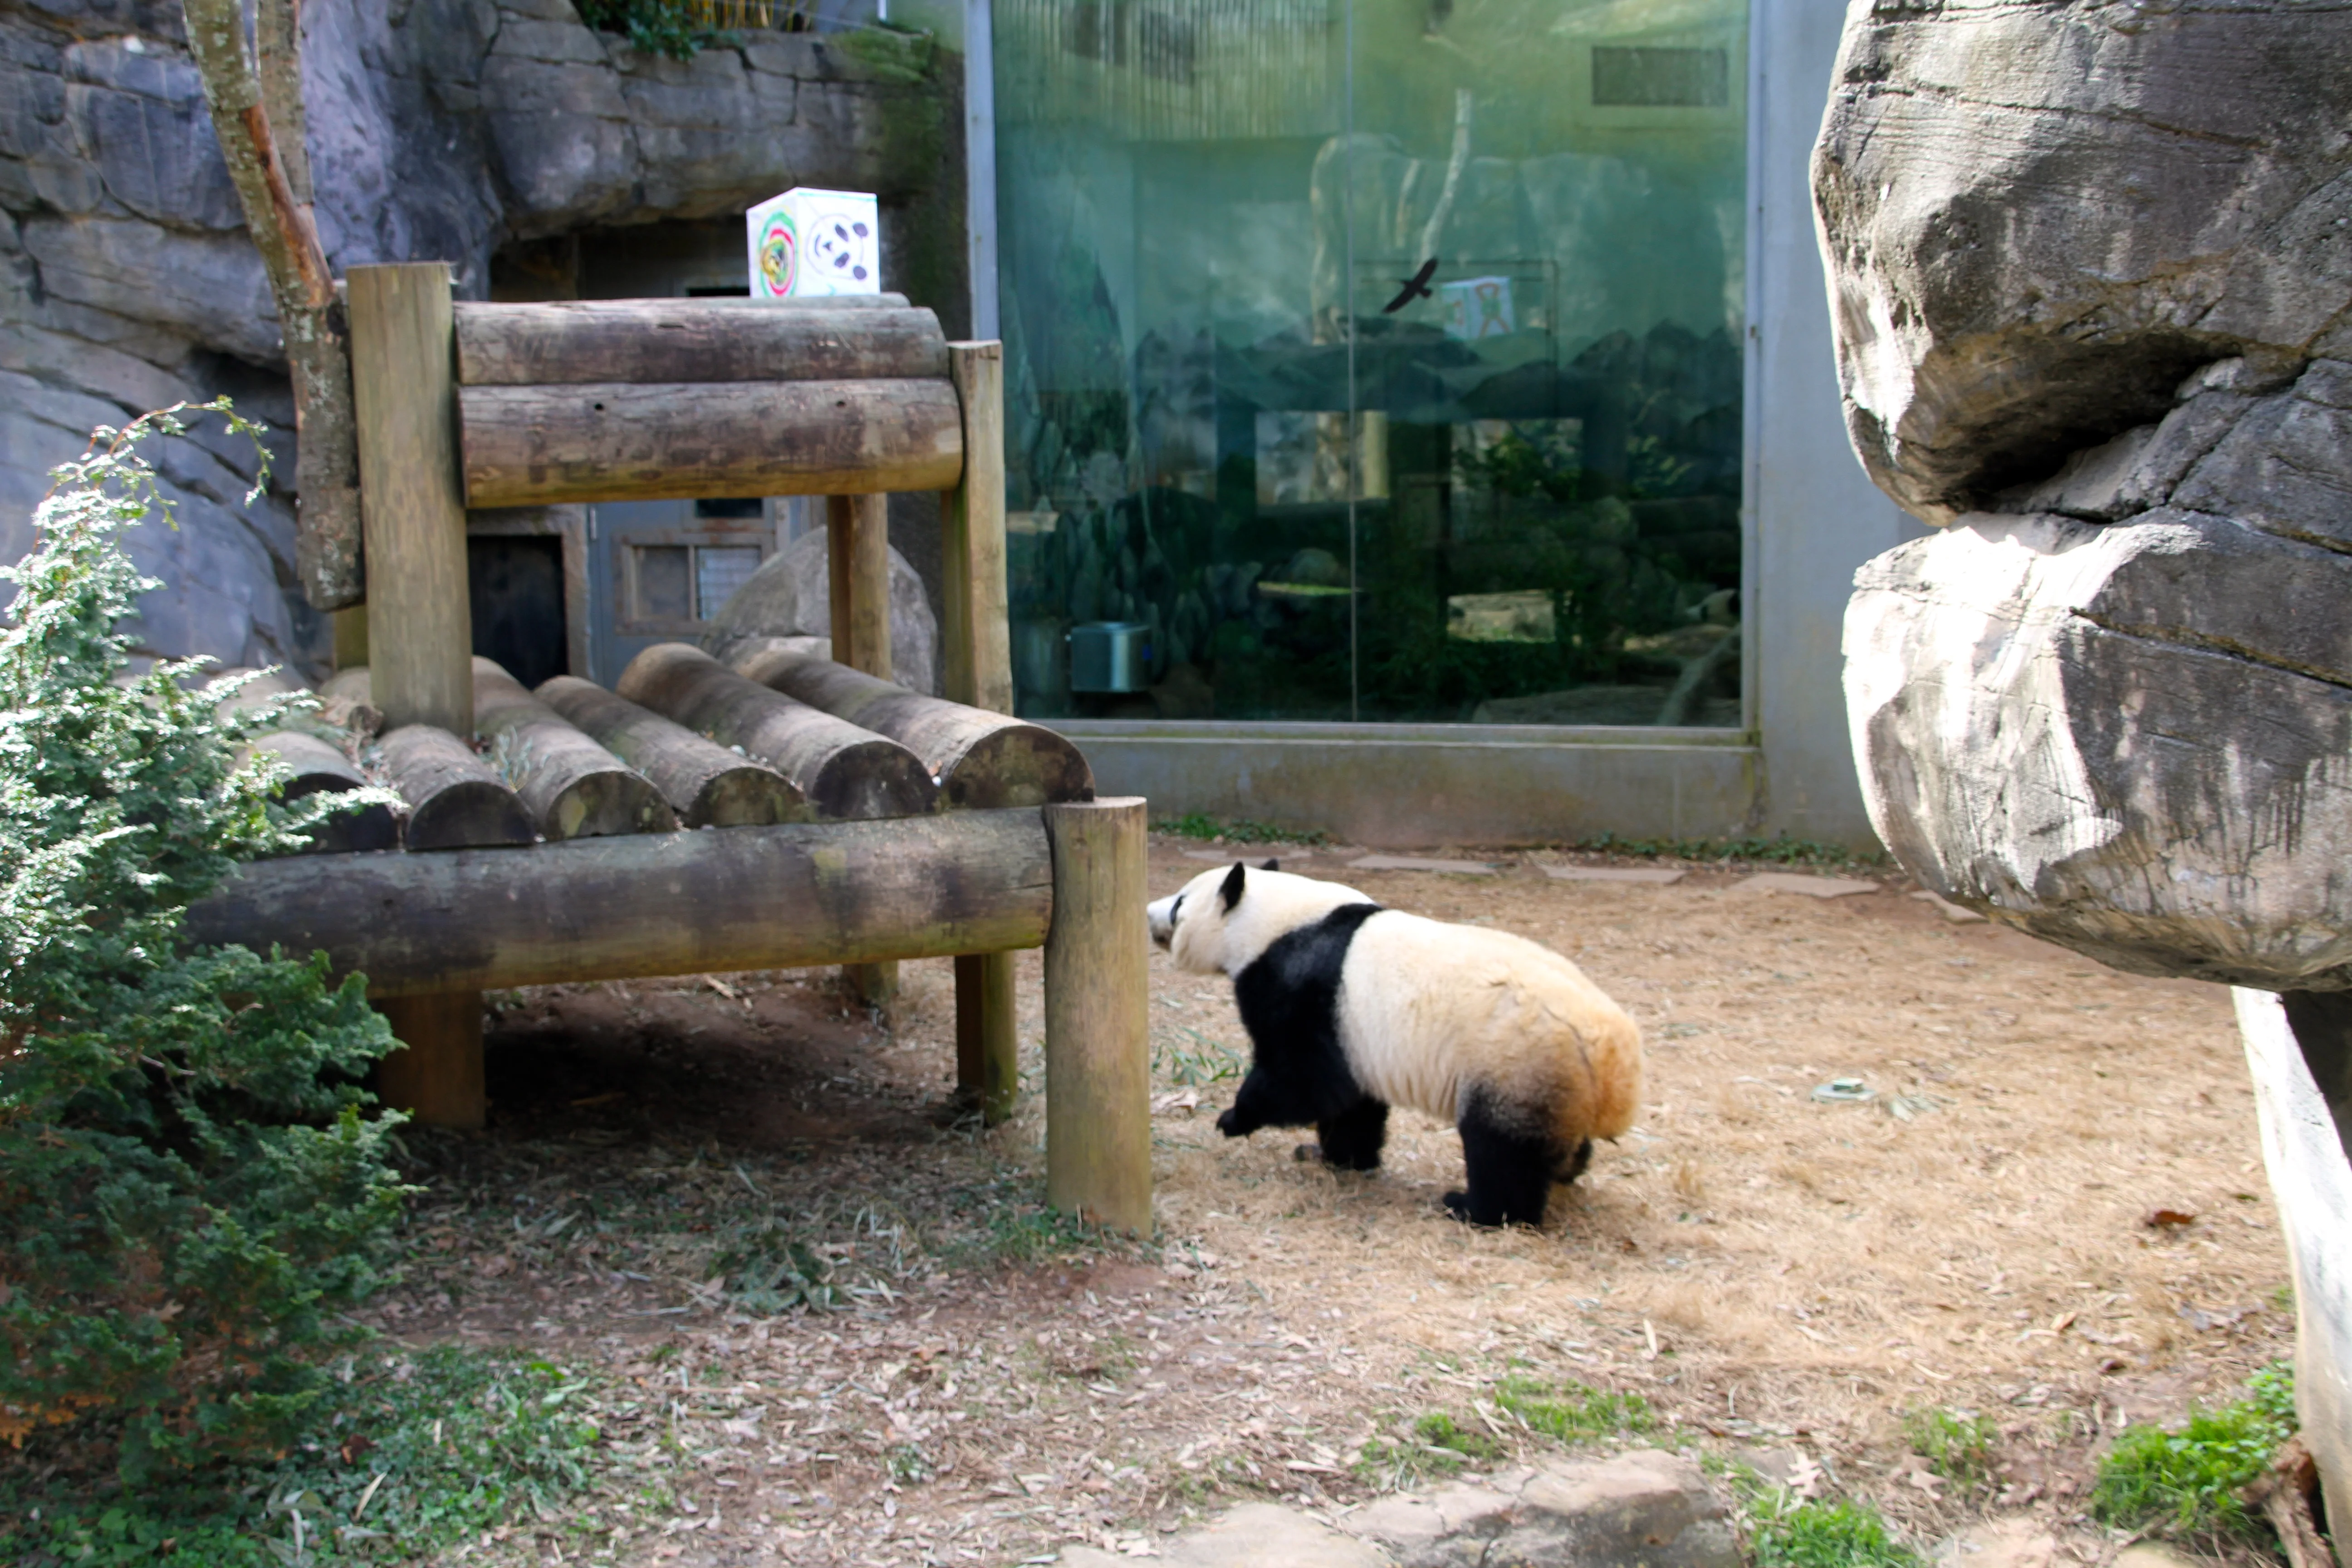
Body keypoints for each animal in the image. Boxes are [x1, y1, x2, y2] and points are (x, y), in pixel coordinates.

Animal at [1146, 861, 1643, 1227]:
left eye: (1180, 903)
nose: (1150, 912)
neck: (1278, 918)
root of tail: (1613, 1059)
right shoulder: (1354, 1034)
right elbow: (1353, 1100)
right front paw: (1338, 1156)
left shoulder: (1304, 987)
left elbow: (1303, 1080)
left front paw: (1233, 1119)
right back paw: (1565, 1170)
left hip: (1514, 1064)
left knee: (1501, 1152)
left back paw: (1472, 1207)